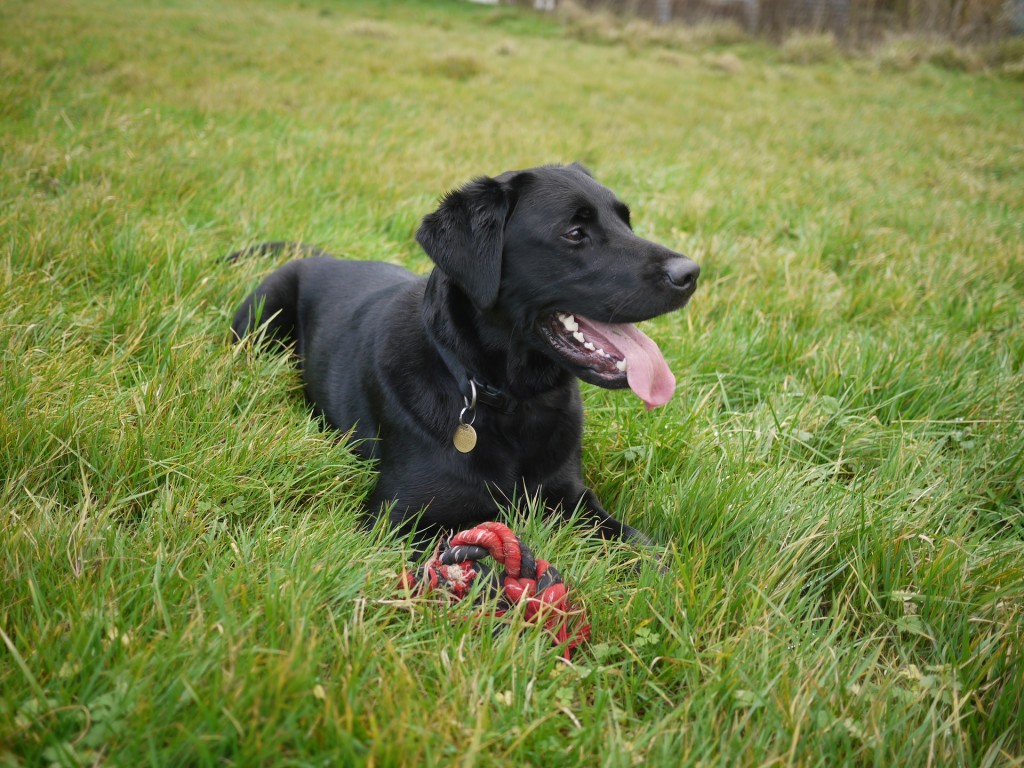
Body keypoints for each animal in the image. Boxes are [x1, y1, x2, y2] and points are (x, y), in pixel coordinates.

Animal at [231, 164, 696, 544]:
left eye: (626, 222)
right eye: (574, 233)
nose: (691, 273)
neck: (513, 404)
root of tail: (322, 256)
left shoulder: (572, 497)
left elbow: (639, 544)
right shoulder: (395, 520)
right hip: (262, 314)